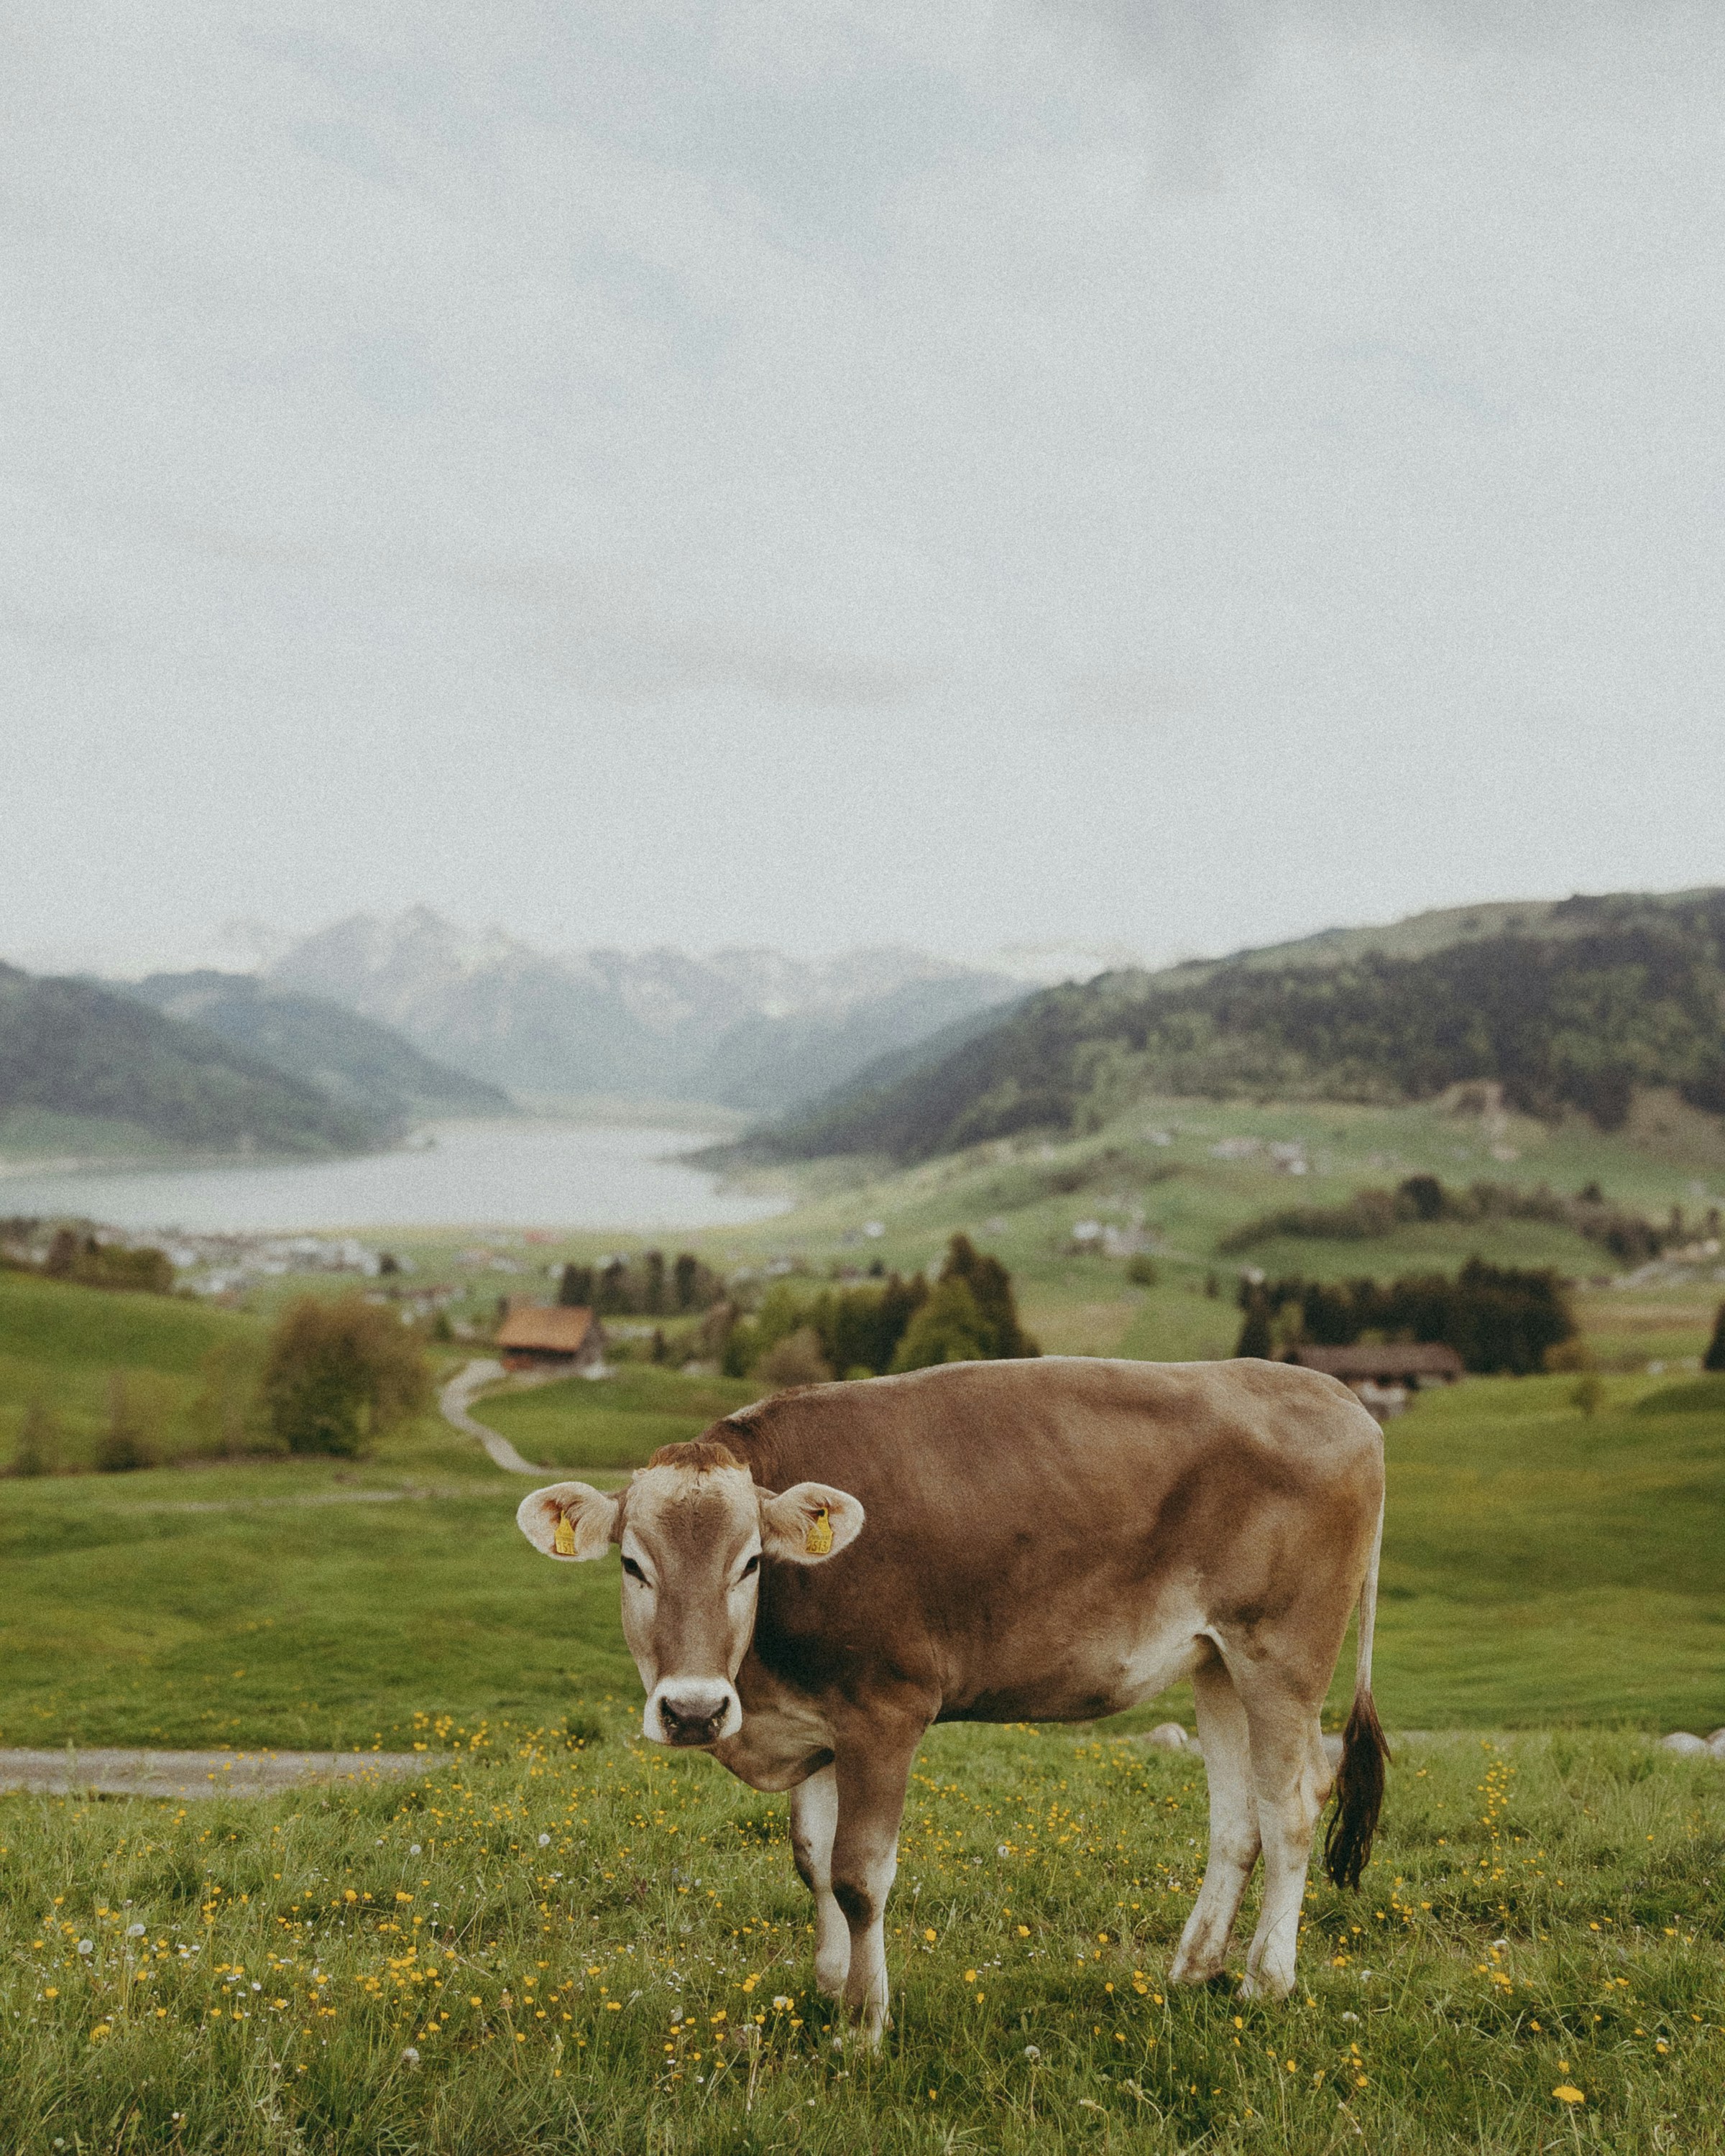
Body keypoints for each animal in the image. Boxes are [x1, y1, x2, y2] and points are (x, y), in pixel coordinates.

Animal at [516, 1356, 1388, 2039]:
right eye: (633, 1564)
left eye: (750, 1562)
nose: (694, 1710)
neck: (762, 1690)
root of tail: (1337, 1397)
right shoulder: (819, 1723)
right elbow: (811, 1860)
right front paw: (829, 1988)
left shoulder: (885, 1712)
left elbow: (858, 1874)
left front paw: (864, 2024)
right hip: (1217, 1659)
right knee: (1238, 1819)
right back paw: (1192, 1970)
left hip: (1281, 1654)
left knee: (1293, 1808)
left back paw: (1264, 1984)